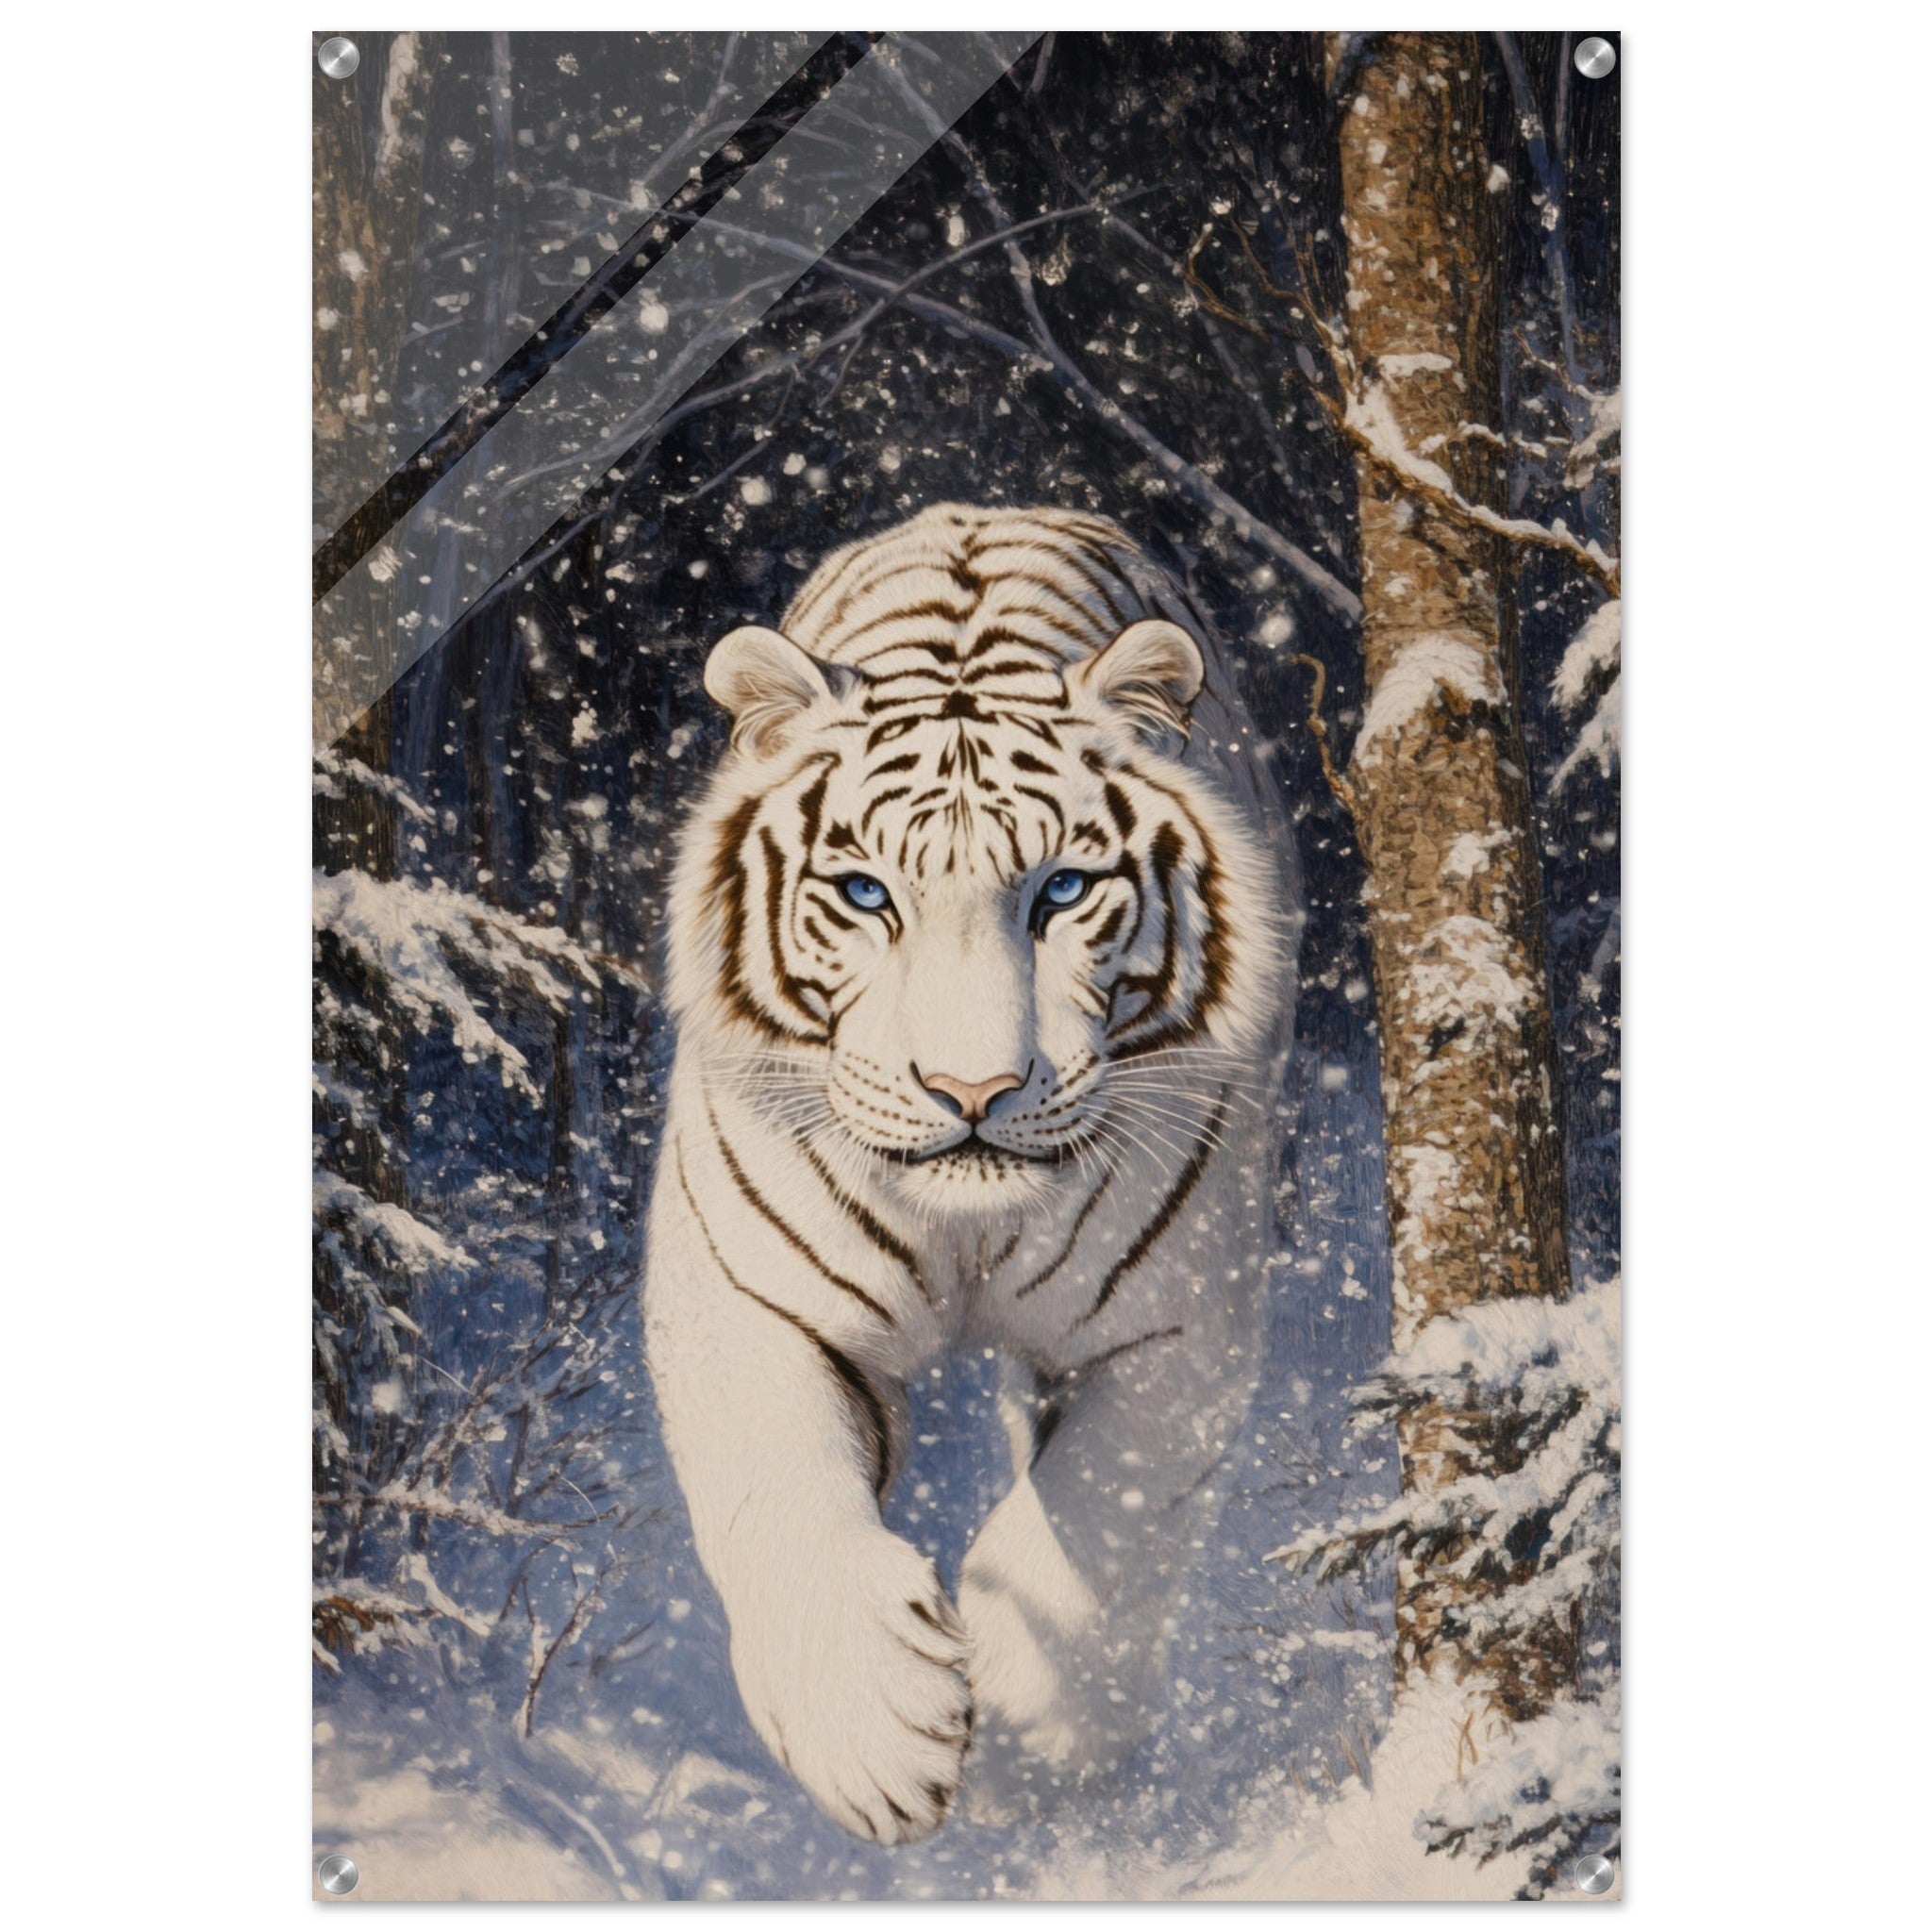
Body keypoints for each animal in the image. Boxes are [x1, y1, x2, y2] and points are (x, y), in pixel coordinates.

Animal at [643, 503, 1301, 1843]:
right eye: (862, 893)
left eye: (1062, 888)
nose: (971, 1092)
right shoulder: (743, 1294)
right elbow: (776, 1486)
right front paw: (870, 1733)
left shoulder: (1173, 1320)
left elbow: (1097, 1518)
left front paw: (1032, 1745)